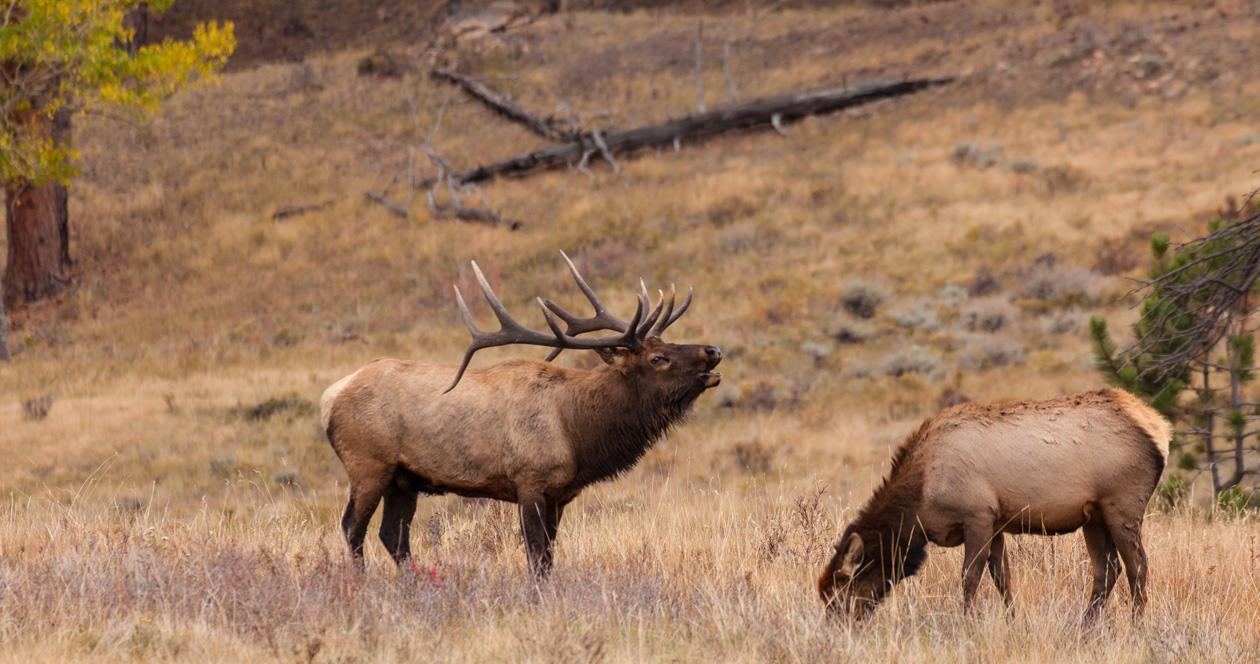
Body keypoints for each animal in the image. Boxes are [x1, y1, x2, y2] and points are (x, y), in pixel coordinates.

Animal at [320, 253, 725, 577]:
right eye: (658, 359)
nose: (713, 351)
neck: (578, 433)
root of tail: (329, 398)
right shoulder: (530, 480)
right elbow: (535, 556)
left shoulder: (560, 494)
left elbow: (548, 557)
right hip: (368, 463)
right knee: (353, 528)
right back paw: (360, 584)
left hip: (404, 478)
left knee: (393, 535)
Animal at [816, 388, 1169, 627]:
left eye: (839, 594)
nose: (835, 632)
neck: (919, 502)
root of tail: (1161, 430)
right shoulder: (996, 522)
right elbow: (1003, 577)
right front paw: (1013, 621)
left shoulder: (978, 515)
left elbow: (970, 577)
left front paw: (966, 624)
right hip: (1093, 516)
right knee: (1107, 569)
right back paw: (1086, 627)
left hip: (1122, 504)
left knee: (1138, 566)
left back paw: (1137, 627)